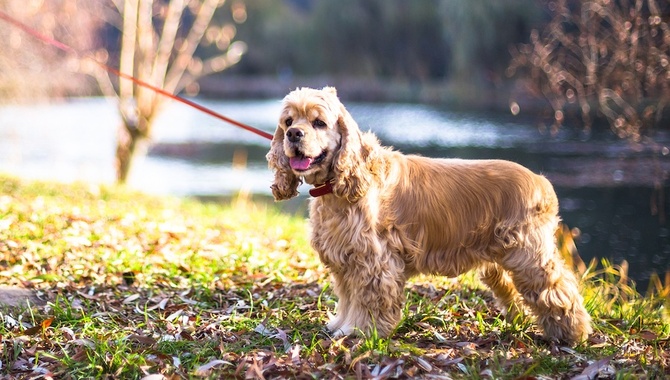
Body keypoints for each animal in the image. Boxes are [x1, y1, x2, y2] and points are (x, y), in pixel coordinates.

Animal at [268, 86, 592, 344]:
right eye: (288, 121)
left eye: (319, 122)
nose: (293, 134)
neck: (339, 186)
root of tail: (542, 182)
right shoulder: (344, 260)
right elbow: (348, 298)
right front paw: (342, 325)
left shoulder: (374, 262)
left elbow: (370, 302)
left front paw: (362, 331)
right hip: (499, 263)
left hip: (529, 256)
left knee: (558, 290)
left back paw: (573, 334)